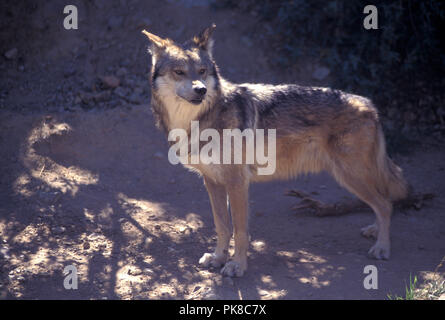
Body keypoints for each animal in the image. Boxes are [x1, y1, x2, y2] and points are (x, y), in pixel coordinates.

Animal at [141, 23, 406, 276]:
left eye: (203, 71)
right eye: (179, 72)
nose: (201, 90)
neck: (197, 121)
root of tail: (369, 104)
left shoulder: (237, 182)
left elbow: (239, 230)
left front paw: (237, 266)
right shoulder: (212, 181)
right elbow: (222, 226)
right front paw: (218, 258)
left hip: (349, 176)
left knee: (385, 204)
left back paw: (382, 248)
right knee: (383, 201)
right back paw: (374, 231)